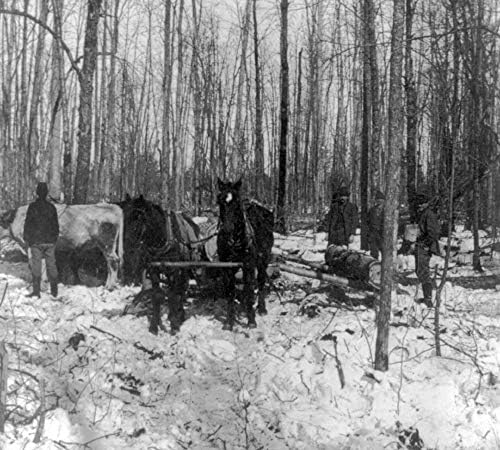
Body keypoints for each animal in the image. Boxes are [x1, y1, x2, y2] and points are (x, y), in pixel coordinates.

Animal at [217, 178, 274, 328]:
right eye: (219, 201)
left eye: (237, 202)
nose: (227, 229)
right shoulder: (227, 266)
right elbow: (230, 291)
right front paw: (229, 321)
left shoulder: (249, 264)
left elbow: (249, 288)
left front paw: (251, 320)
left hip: (263, 259)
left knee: (260, 281)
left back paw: (261, 308)